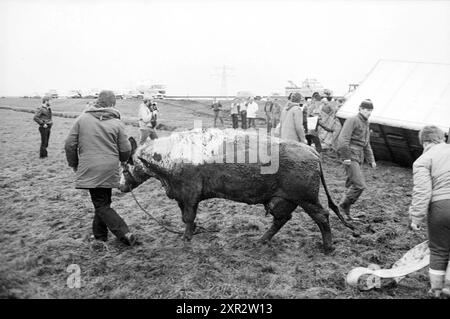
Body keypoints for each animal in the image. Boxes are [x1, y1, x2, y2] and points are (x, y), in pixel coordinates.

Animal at [120, 129, 356, 254]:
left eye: (126, 164)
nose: (121, 186)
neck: (171, 156)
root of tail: (311, 151)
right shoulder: (182, 196)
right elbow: (186, 218)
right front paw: (191, 233)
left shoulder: (189, 194)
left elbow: (188, 218)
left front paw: (186, 238)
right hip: (283, 200)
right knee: (282, 219)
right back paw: (262, 240)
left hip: (306, 198)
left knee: (322, 216)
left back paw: (328, 246)